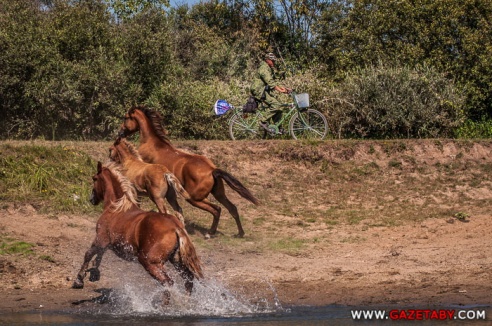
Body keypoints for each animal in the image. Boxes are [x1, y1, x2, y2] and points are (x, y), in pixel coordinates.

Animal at [72, 160, 203, 300]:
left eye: (94, 178)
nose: (91, 199)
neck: (117, 207)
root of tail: (176, 228)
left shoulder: (101, 239)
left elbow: (88, 253)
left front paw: (79, 280)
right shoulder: (107, 243)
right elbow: (98, 255)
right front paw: (94, 274)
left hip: (150, 262)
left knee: (168, 282)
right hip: (176, 260)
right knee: (188, 279)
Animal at [117, 106, 260, 237]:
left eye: (125, 118)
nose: (120, 133)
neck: (152, 142)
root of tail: (212, 170)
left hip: (194, 198)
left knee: (216, 209)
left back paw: (210, 233)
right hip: (218, 194)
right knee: (231, 208)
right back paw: (239, 233)